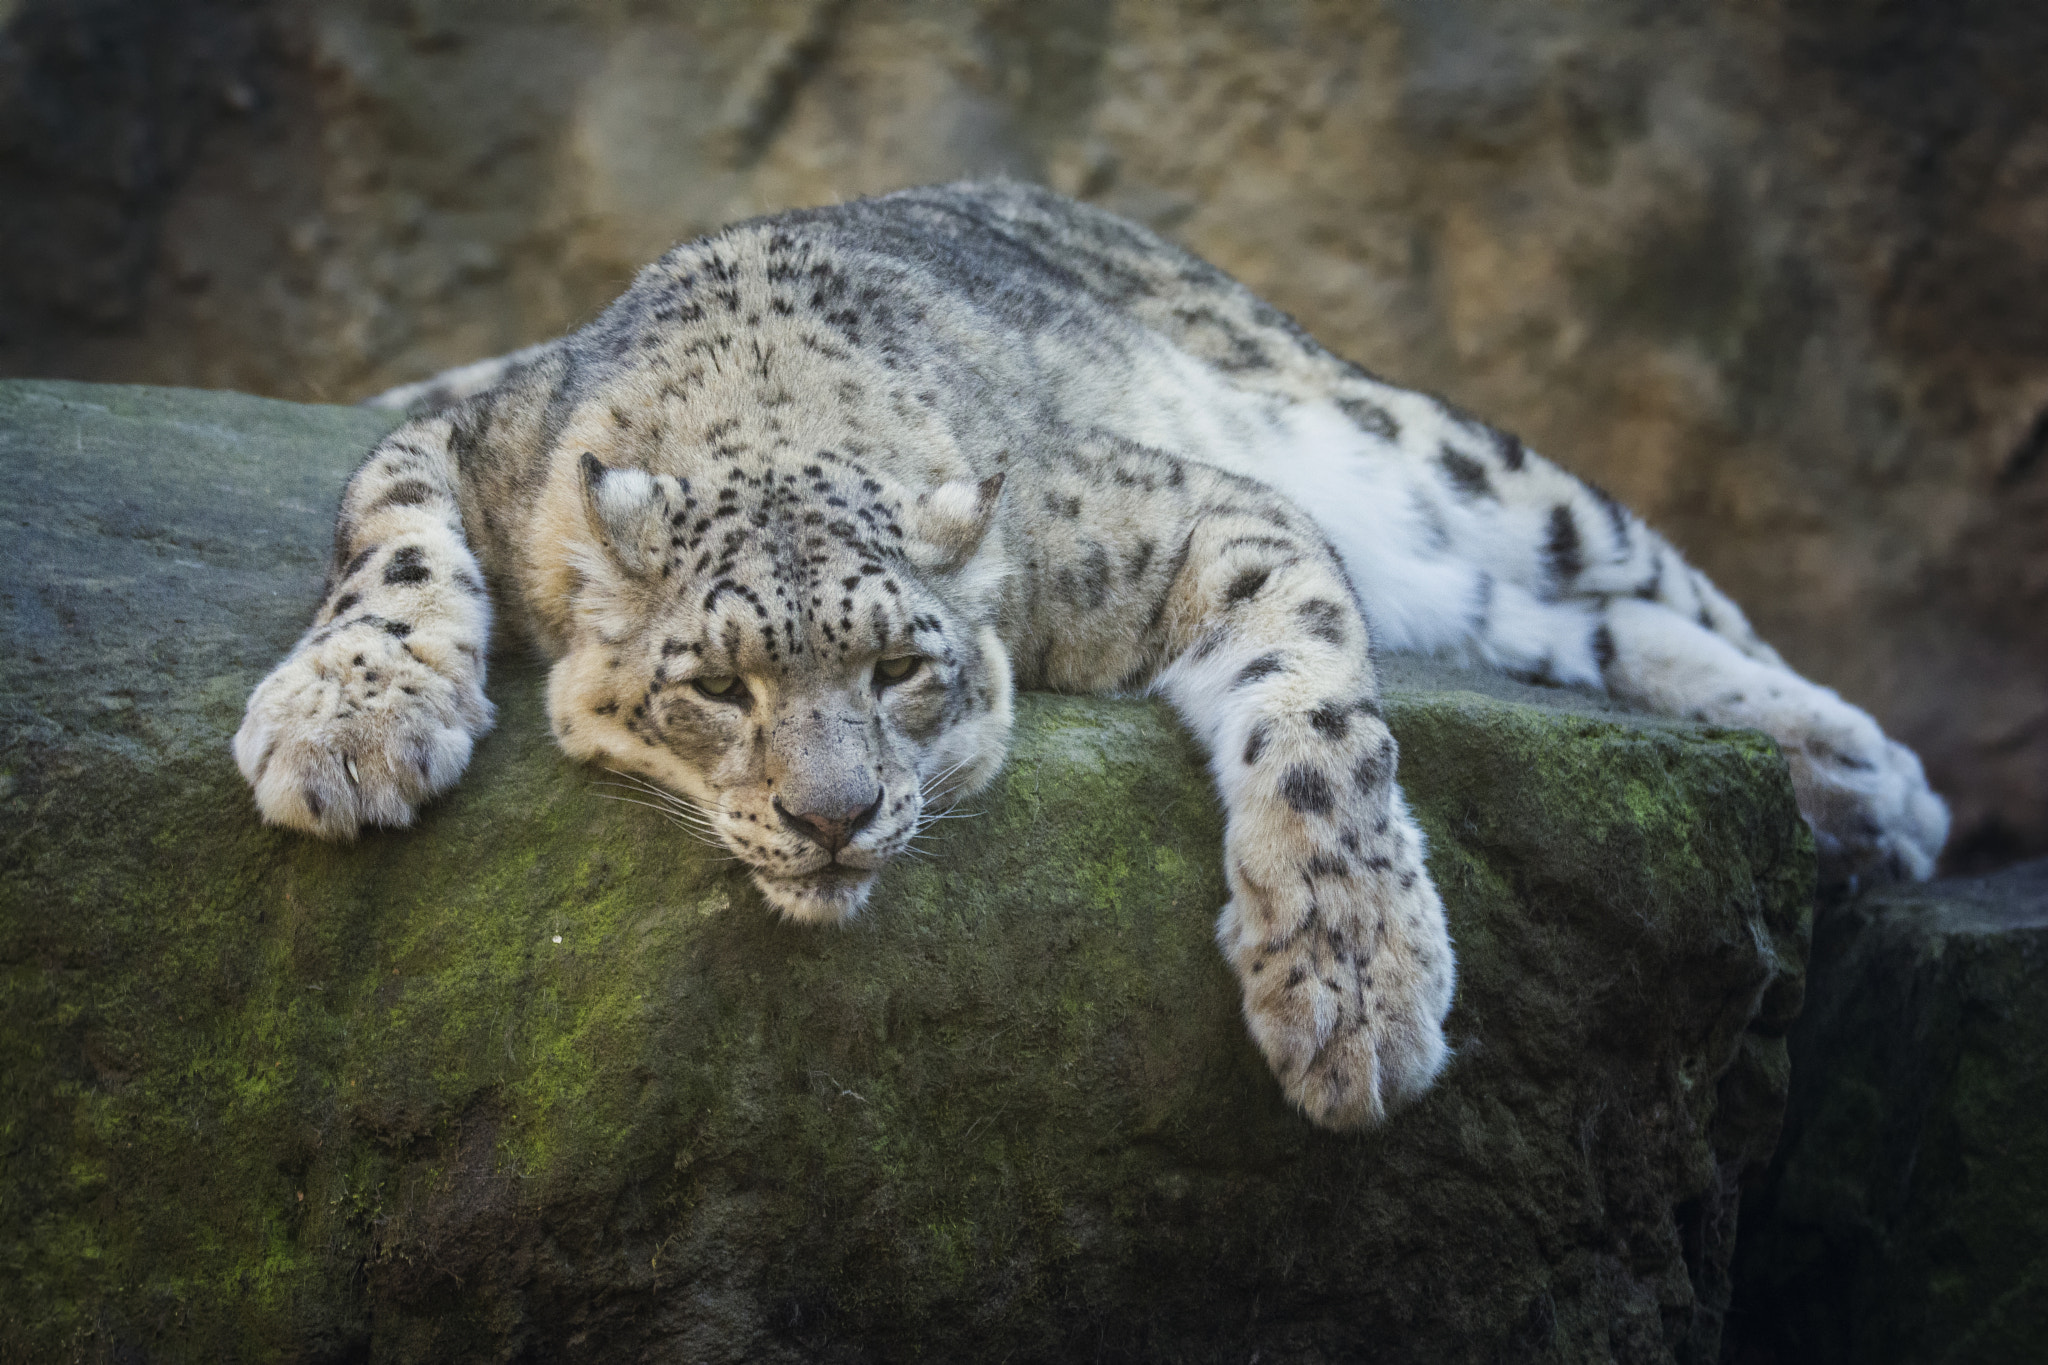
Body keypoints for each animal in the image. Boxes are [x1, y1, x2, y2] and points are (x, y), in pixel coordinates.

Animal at [232, 184, 1941, 1146]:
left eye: (901, 667)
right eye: (716, 687)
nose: (835, 817)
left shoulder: (1191, 514)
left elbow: (1321, 715)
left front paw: (1350, 987)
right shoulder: (473, 439)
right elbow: (390, 540)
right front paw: (348, 726)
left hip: (1429, 454)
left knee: (1635, 568)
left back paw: (1875, 778)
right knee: (1566, 624)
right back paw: (1843, 788)